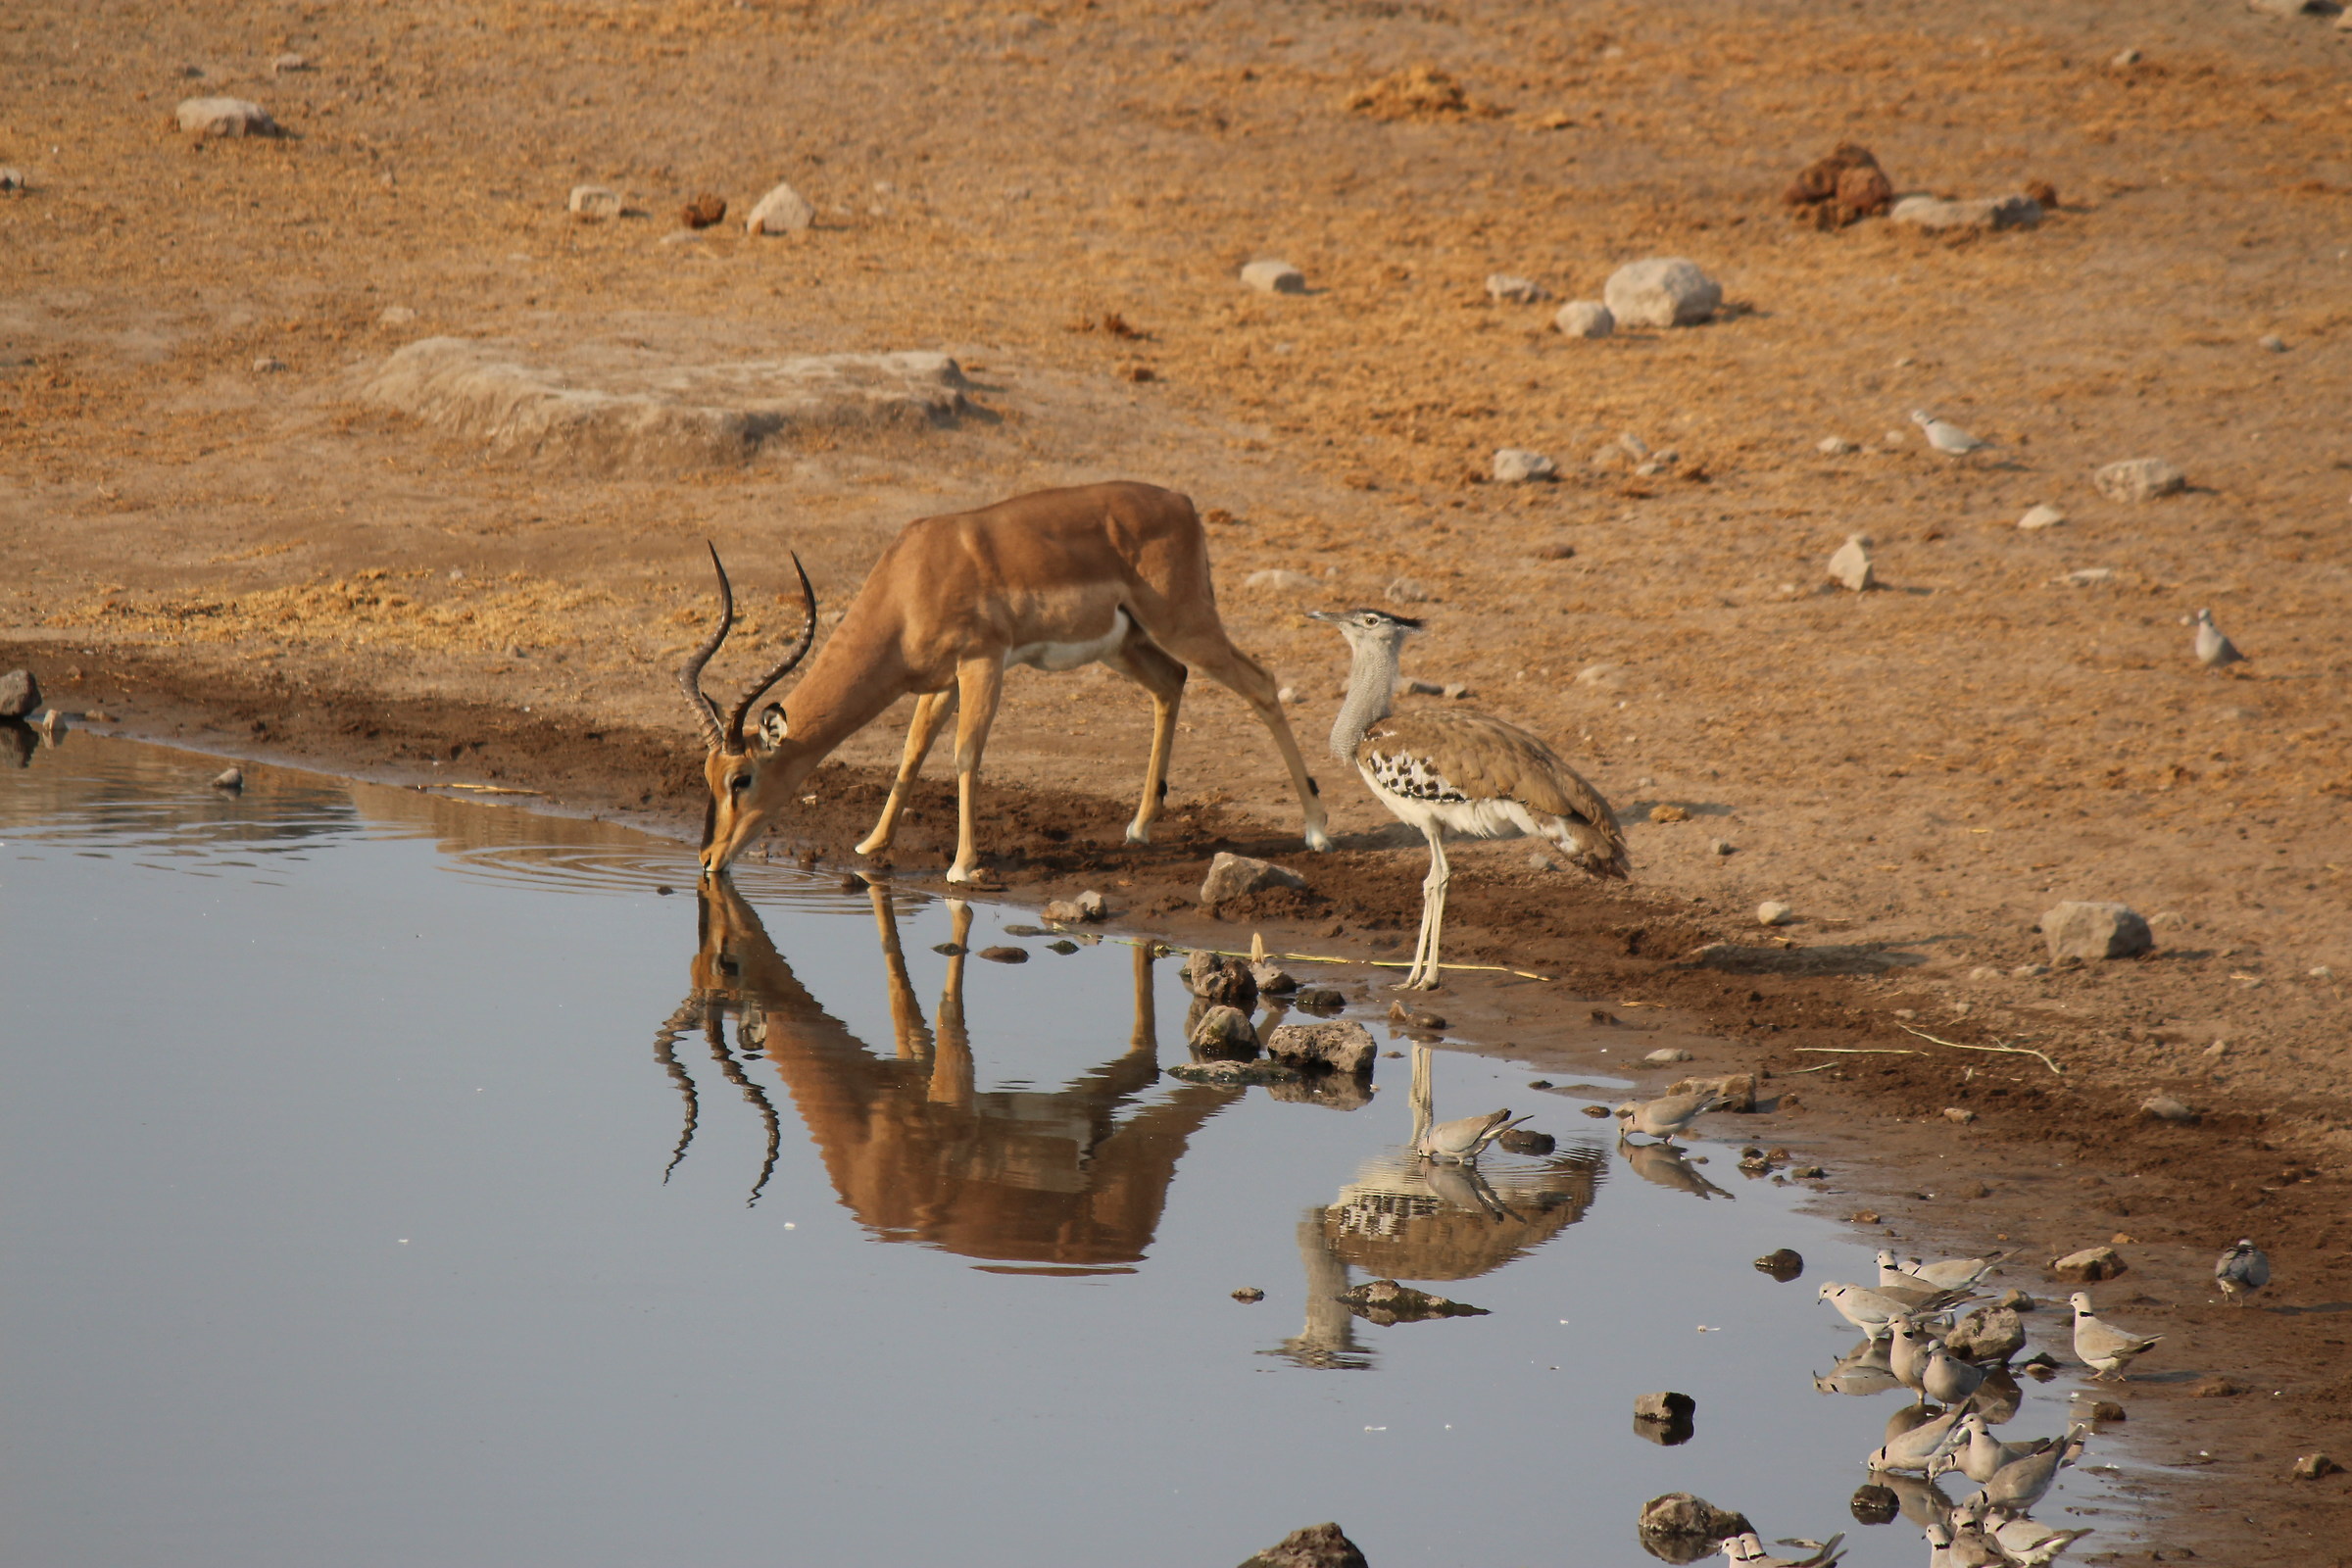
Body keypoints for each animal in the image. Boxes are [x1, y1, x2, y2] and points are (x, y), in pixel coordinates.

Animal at [679, 481, 1331, 880]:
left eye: (741, 778)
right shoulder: (940, 680)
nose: (709, 859)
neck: (910, 580)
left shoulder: (983, 662)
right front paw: (871, 844)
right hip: (1129, 644)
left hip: (1185, 622)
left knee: (1262, 682)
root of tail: (1183, 503)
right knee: (1172, 682)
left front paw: (963, 865)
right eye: (706, 777)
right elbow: (912, 752)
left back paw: (1317, 832)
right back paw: (1141, 827)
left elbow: (966, 754)